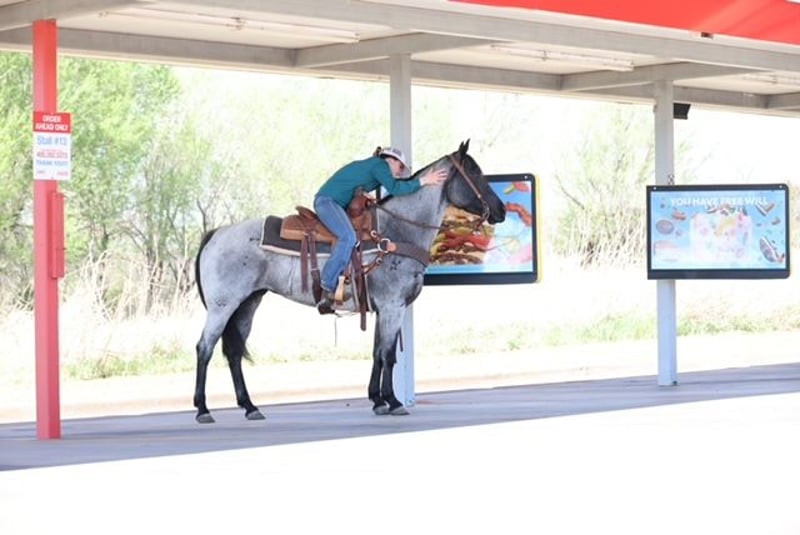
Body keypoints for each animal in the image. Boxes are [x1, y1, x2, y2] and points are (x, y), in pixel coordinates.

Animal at [193, 140, 506, 423]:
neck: (396, 232)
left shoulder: (381, 309)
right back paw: (203, 410)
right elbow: (389, 355)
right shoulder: (393, 306)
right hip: (222, 306)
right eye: (475, 171)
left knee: (233, 352)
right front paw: (393, 401)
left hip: (247, 304)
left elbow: (377, 353)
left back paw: (250, 407)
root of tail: (216, 233)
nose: (501, 210)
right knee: (204, 348)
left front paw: (377, 400)